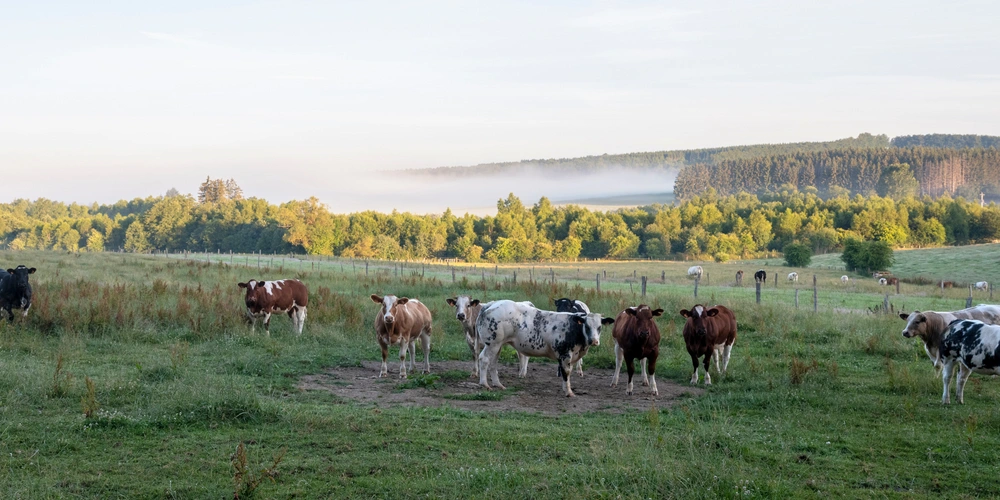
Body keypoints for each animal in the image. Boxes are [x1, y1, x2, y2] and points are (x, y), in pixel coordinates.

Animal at [476, 300, 614, 397]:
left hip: (498, 345)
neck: (574, 328)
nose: (594, 341)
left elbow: (568, 372)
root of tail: (491, 304)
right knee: (484, 360)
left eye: (599, 327)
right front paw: (568, 392)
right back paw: (485, 384)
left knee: (493, 363)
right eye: (587, 326)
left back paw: (498, 384)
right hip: (492, 344)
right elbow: (566, 372)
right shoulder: (564, 354)